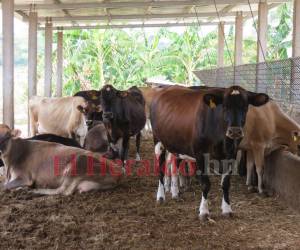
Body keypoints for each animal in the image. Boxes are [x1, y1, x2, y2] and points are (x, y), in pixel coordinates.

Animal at [150, 85, 270, 220]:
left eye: (245, 107)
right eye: (224, 106)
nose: (235, 131)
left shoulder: (231, 154)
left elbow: (226, 183)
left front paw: (227, 209)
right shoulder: (200, 154)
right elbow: (205, 184)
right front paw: (204, 211)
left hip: (177, 145)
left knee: (175, 165)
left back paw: (175, 193)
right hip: (158, 141)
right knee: (160, 168)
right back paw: (160, 196)